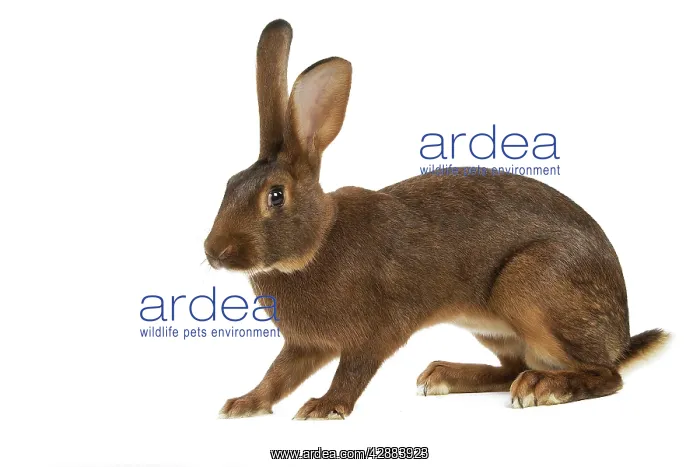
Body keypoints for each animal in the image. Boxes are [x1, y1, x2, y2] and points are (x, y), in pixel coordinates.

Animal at [204, 18, 669, 419]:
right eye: (228, 184)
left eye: (275, 196)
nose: (214, 252)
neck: (318, 241)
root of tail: (619, 337)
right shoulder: (305, 346)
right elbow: (277, 375)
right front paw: (243, 404)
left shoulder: (376, 331)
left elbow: (353, 371)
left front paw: (325, 407)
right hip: (494, 322)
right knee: (513, 368)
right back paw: (445, 375)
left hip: (531, 285)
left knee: (604, 374)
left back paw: (543, 387)